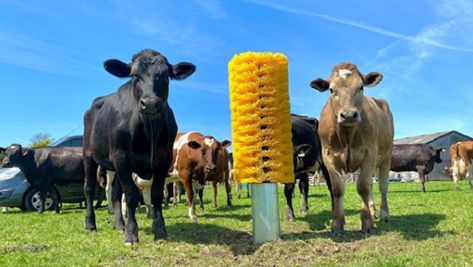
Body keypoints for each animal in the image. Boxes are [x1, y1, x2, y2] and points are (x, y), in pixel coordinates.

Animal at [83, 49, 195, 246]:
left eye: (166, 76)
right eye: (134, 75)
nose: (149, 103)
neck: (148, 129)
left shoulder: (163, 159)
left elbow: (156, 194)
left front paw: (160, 230)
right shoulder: (121, 158)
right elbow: (131, 195)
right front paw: (131, 233)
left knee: (115, 193)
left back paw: (119, 224)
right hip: (89, 154)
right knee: (89, 188)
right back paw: (91, 224)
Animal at [310, 62, 394, 234]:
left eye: (361, 87)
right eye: (331, 90)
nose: (348, 115)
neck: (346, 136)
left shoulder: (370, 153)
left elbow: (362, 187)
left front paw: (367, 223)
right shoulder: (328, 156)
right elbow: (337, 189)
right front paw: (337, 224)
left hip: (386, 157)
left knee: (382, 186)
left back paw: (384, 214)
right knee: (372, 184)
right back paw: (373, 210)